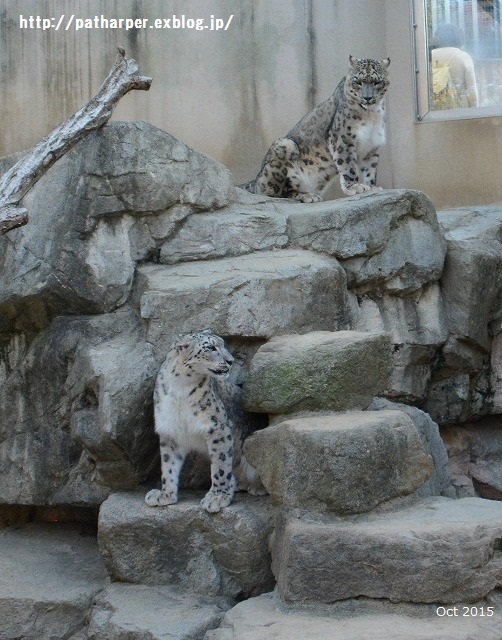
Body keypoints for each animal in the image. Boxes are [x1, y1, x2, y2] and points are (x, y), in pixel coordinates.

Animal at [143, 330, 264, 516]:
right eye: (210, 347)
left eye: (223, 344)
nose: (230, 360)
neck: (180, 386)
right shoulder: (170, 430)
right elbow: (169, 465)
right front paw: (165, 494)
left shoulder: (218, 427)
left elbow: (221, 465)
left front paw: (217, 497)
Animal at [240, 55, 392, 201]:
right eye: (358, 82)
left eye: (376, 82)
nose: (367, 97)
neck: (371, 113)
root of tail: (255, 180)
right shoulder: (344, 139)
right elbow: (348, 166)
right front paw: (355, 186)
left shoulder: (372, 146)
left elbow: (369, 170)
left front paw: (371, 187)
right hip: (284, 148)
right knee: (274, 194)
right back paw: (307, 196)